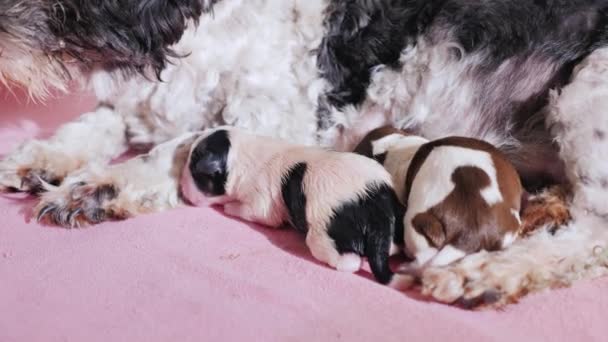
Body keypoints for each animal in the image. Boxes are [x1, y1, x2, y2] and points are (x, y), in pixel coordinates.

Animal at [182, 127, 408, 284]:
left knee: (347, 261)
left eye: (195, 171)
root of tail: (376, 205)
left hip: (324, 235)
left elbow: (249, 211)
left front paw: (229, 207)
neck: (243, 153)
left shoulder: (260, 203)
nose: (181, 186)